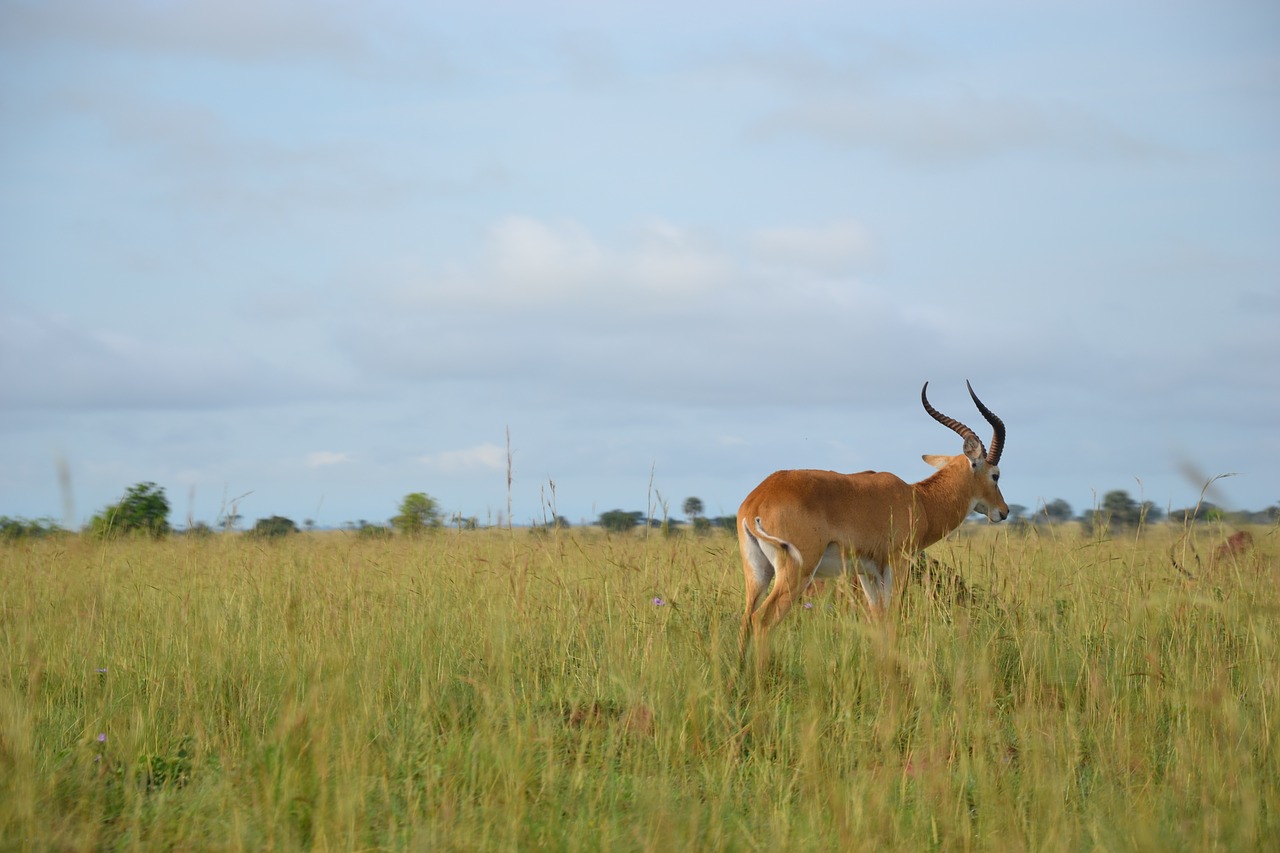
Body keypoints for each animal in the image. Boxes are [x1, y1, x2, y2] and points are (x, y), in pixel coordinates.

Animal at [742, 381, 1008, 653]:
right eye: (995, 475)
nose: (1004, 511)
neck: (919, 499)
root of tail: (756, 501)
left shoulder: (867, 573)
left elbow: (877, 618)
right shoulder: (897, 564)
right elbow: (891, 617)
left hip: (758, 574)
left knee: (747, 619)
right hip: (796, 572)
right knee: (762, 619)